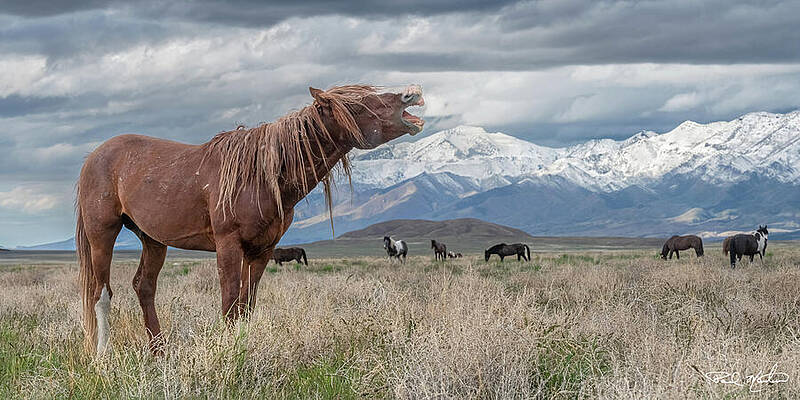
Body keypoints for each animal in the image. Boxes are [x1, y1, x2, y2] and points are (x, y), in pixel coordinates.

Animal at [76, 84, 425, 355]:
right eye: (357, 103)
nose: (412, 93)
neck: (262, 175)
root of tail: (94, 156)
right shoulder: (228, 245)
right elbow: (230, 303)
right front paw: (228, 354)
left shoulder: (262, 250)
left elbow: (246, 304)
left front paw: (241, 350)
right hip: (102, 234)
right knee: (100, 293)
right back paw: (102, 356)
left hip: (153, 240)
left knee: (144, 286)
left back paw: (159, 352)